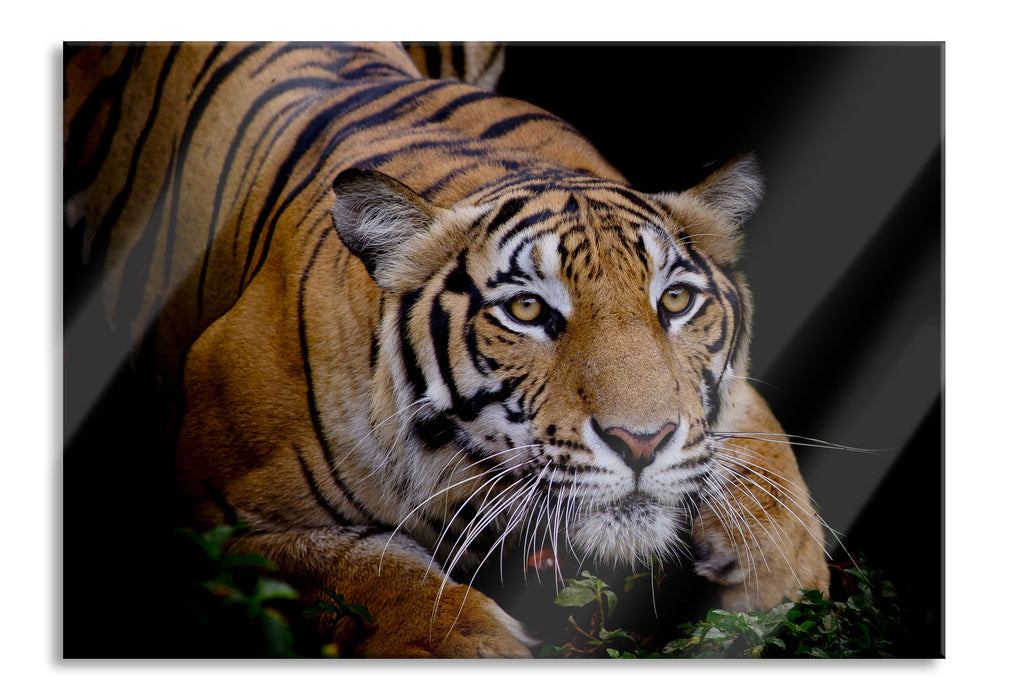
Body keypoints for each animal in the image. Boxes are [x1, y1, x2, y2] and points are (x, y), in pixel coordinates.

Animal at [63, 42, 830, 658]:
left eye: (674, 301)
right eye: (527, 310)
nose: (640, 443)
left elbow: (763, 458)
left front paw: (780, 579)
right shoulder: (217, 523)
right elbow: (373, 576)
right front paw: (470, 645)